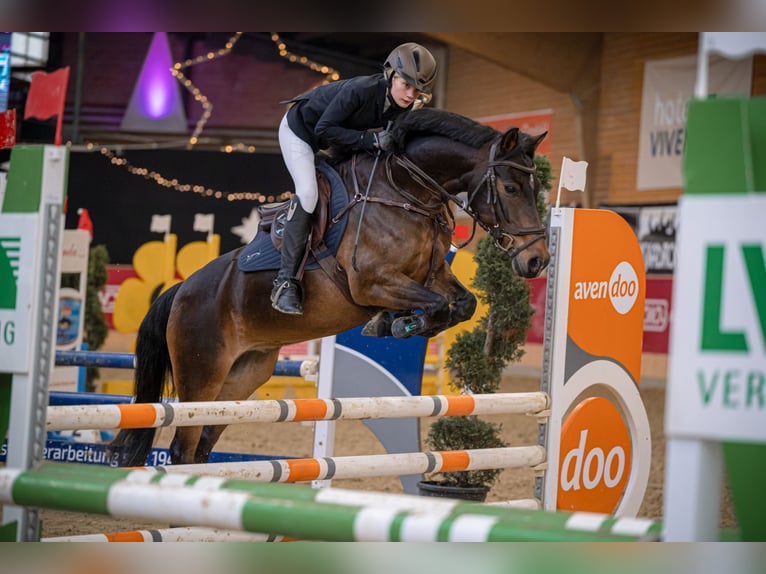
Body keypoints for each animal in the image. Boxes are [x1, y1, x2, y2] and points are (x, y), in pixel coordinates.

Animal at [109, 108, 552, 468]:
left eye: (536, 190)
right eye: (511, 189)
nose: (538, 260)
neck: (406, 192)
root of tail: (180, 292)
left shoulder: (430, 275)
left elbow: (462, 304)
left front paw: (395, 323)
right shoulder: (370, 282)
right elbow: (438, 307)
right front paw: (399, 324)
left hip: (241, 377)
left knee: (201, 446)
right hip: (200, 376)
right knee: (182, 448)